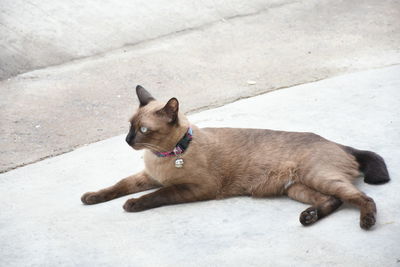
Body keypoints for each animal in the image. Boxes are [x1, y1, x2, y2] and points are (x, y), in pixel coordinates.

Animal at [82, 86, 390, 230]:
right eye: (130, 126)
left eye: (143, 130)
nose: (128, 140)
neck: (166, 154)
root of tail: (337, 143)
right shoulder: (148, 176)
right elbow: (118, 185)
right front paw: (91, 197)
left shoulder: (194, 188)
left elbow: (156, 195)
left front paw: (132, 204)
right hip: (297, 188)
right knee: (333, 200)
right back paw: (308, 217)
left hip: (317, 178)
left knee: (362, 198)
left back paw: (366, 223)